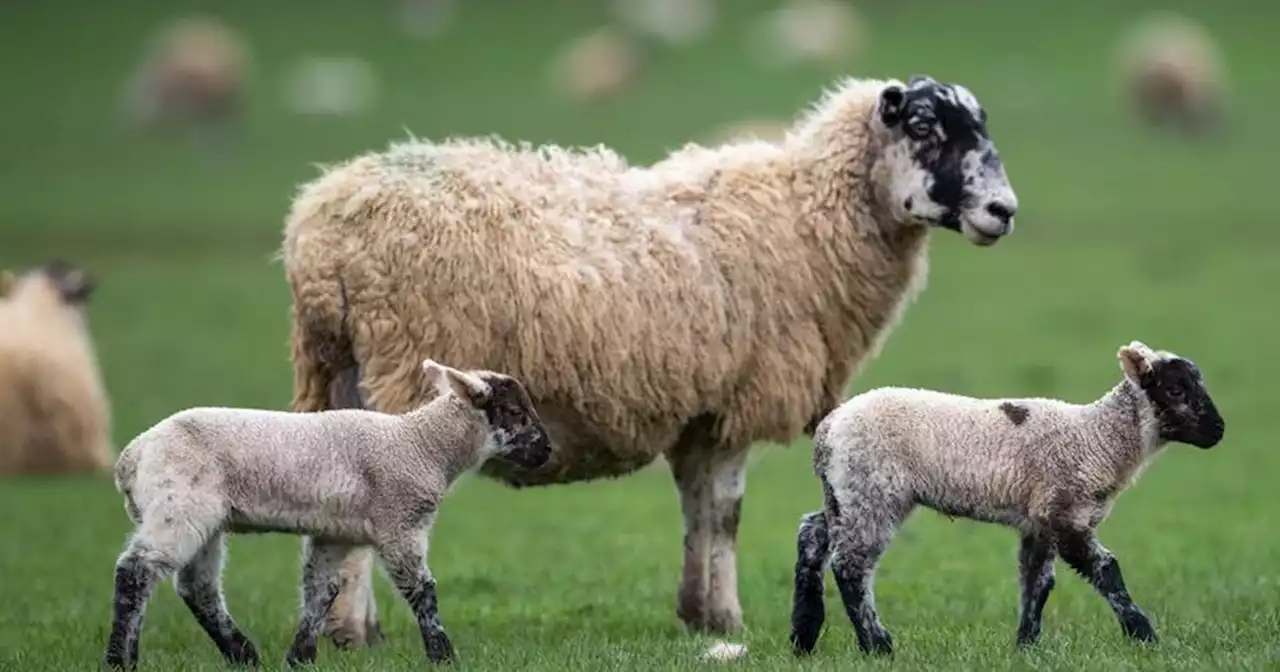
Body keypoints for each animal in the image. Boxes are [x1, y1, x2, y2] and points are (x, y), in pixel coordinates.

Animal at [104, 355, 550, 665]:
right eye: (515, 413)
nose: (545, 451)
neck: (421, 445)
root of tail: (130, 458)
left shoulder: (335, 533)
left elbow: (321, 590)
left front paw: (300, 657)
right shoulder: (400, 523)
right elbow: (422, 590)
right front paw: (443, 655)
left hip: (202, 517)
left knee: (196, 587)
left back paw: (241, 654)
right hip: (179, 504)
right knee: (136, 571)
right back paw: (118, 659)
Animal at [788, 340, 1228, 655]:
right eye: (1175, 389)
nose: (1218, 430)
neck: (1097, 439)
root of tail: (827, 431)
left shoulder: (1041, 519)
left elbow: (1037, 582)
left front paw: (1026, 646)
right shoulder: (1066, 513)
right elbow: (1107, 570)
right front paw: (1144, 635)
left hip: (844, 491)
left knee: (812, 534)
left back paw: (803, 636)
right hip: (873, 491)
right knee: (850, 566)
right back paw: (877, 645)